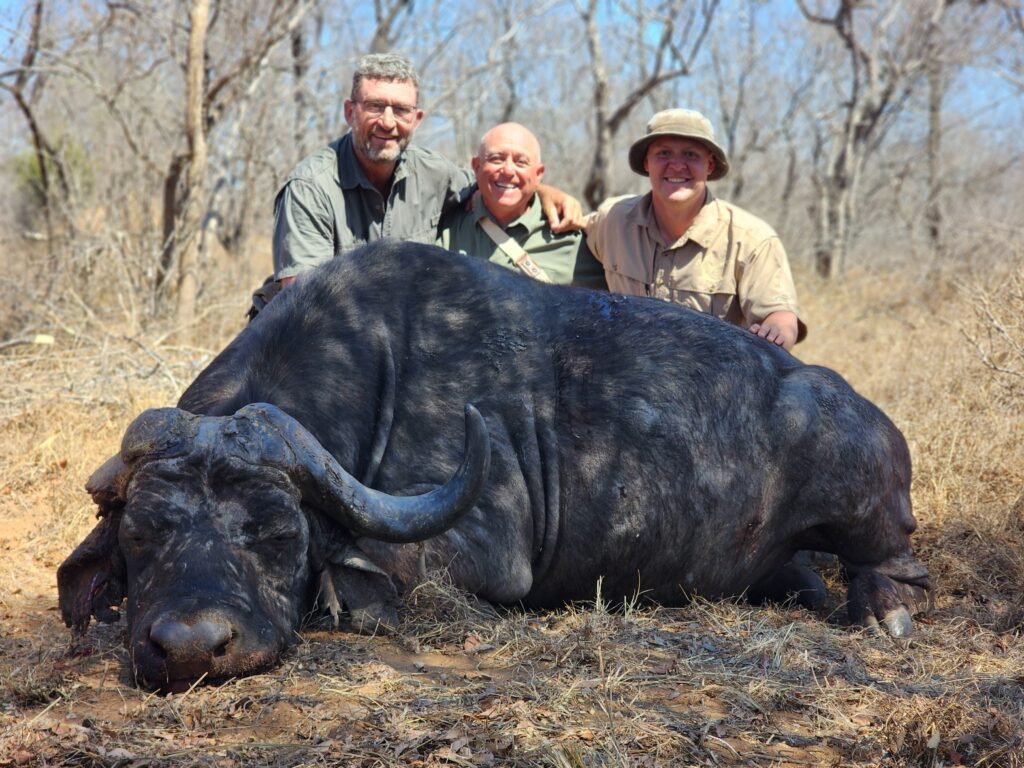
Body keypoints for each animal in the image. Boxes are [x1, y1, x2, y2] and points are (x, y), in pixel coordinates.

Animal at [58, 241, 931, 691]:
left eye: (275, 535)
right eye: (142, 534)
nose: (190, 646)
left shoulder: (476, 553)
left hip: (867, 500)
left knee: (889, 560)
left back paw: (884, 608)